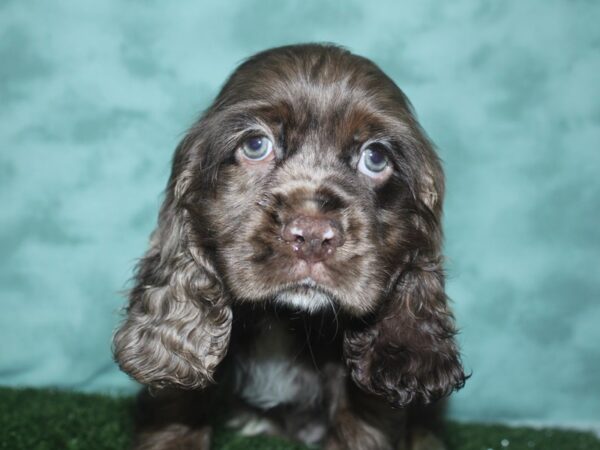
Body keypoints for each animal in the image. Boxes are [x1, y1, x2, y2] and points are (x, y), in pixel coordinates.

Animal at [113, 43, 468, 450]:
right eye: (255, 145)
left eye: (376, 158)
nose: (313, 236)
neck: (285, 319)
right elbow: (178, 407)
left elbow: (361, 423)